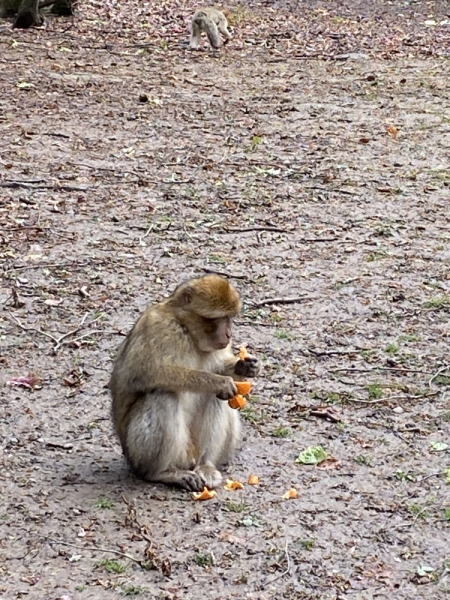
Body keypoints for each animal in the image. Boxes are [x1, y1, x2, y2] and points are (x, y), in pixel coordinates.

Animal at [108, 274, 260, 490]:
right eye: (216, 319)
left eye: (229, 318)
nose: (228, 333)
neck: (188, 331)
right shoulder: (157, 326)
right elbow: (144, 373)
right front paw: (218, 382)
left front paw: (245, 366)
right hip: (140, 455)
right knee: (164, 394)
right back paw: (161, 473)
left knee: (216, 399)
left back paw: (206, 465)